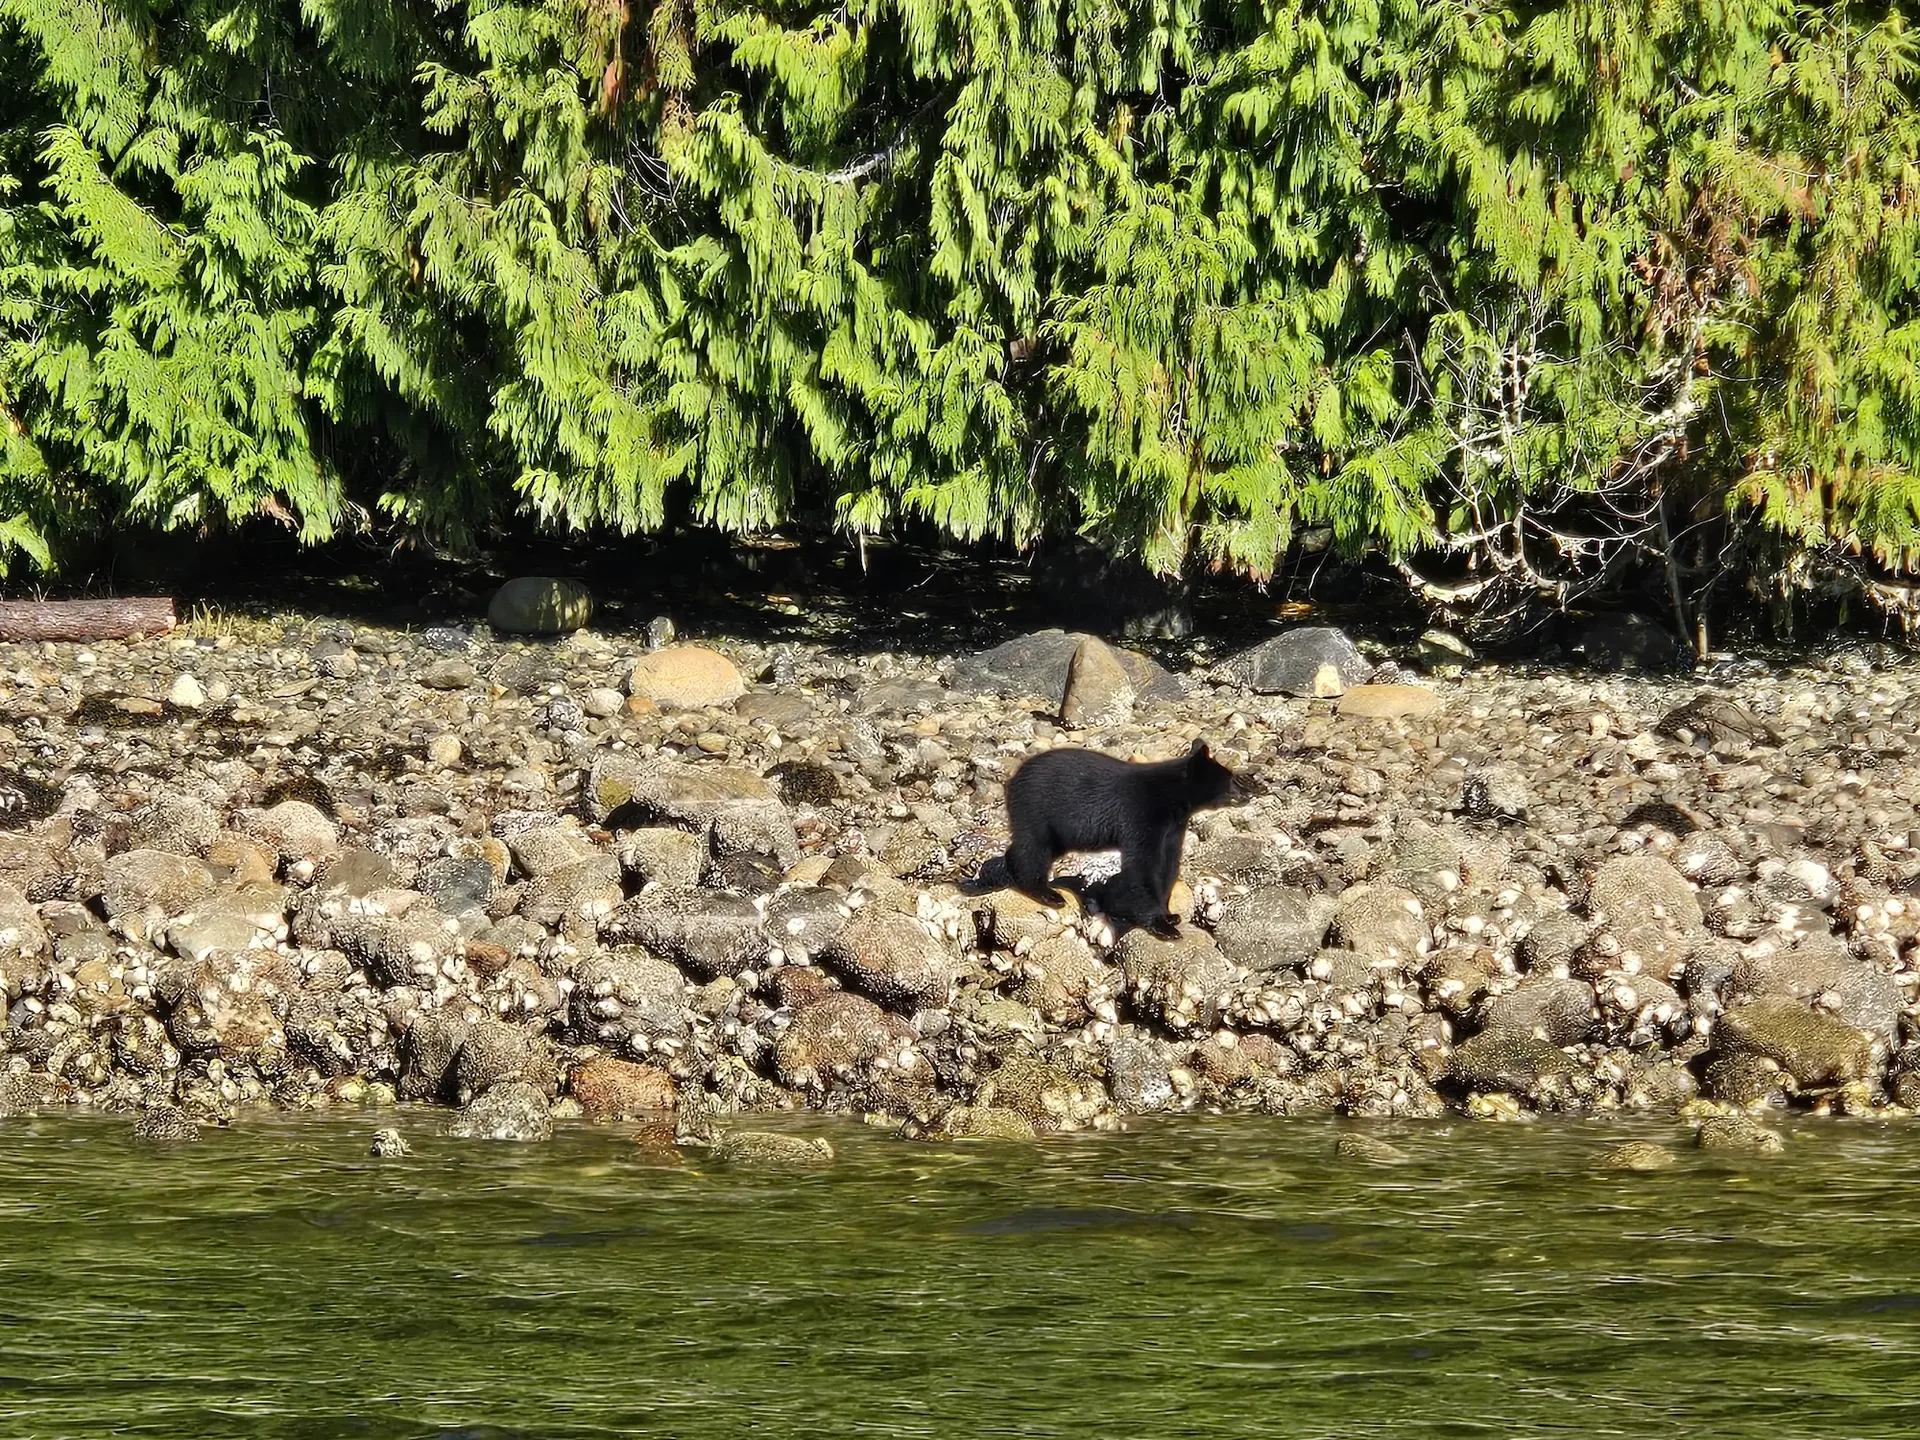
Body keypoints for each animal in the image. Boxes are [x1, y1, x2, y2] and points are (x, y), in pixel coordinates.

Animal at [971, 739, 1246, 935]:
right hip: (1037, 808)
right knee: (1034, 847)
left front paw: (1170, 915)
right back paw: (1046, 893)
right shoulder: (1141, 814)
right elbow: (1143, 866)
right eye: (1229, 777)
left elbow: (1167, 865)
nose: (1247, 791)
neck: (1174, 798)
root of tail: (1013, 778)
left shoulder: (1172, 826)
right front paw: (1161, 925)